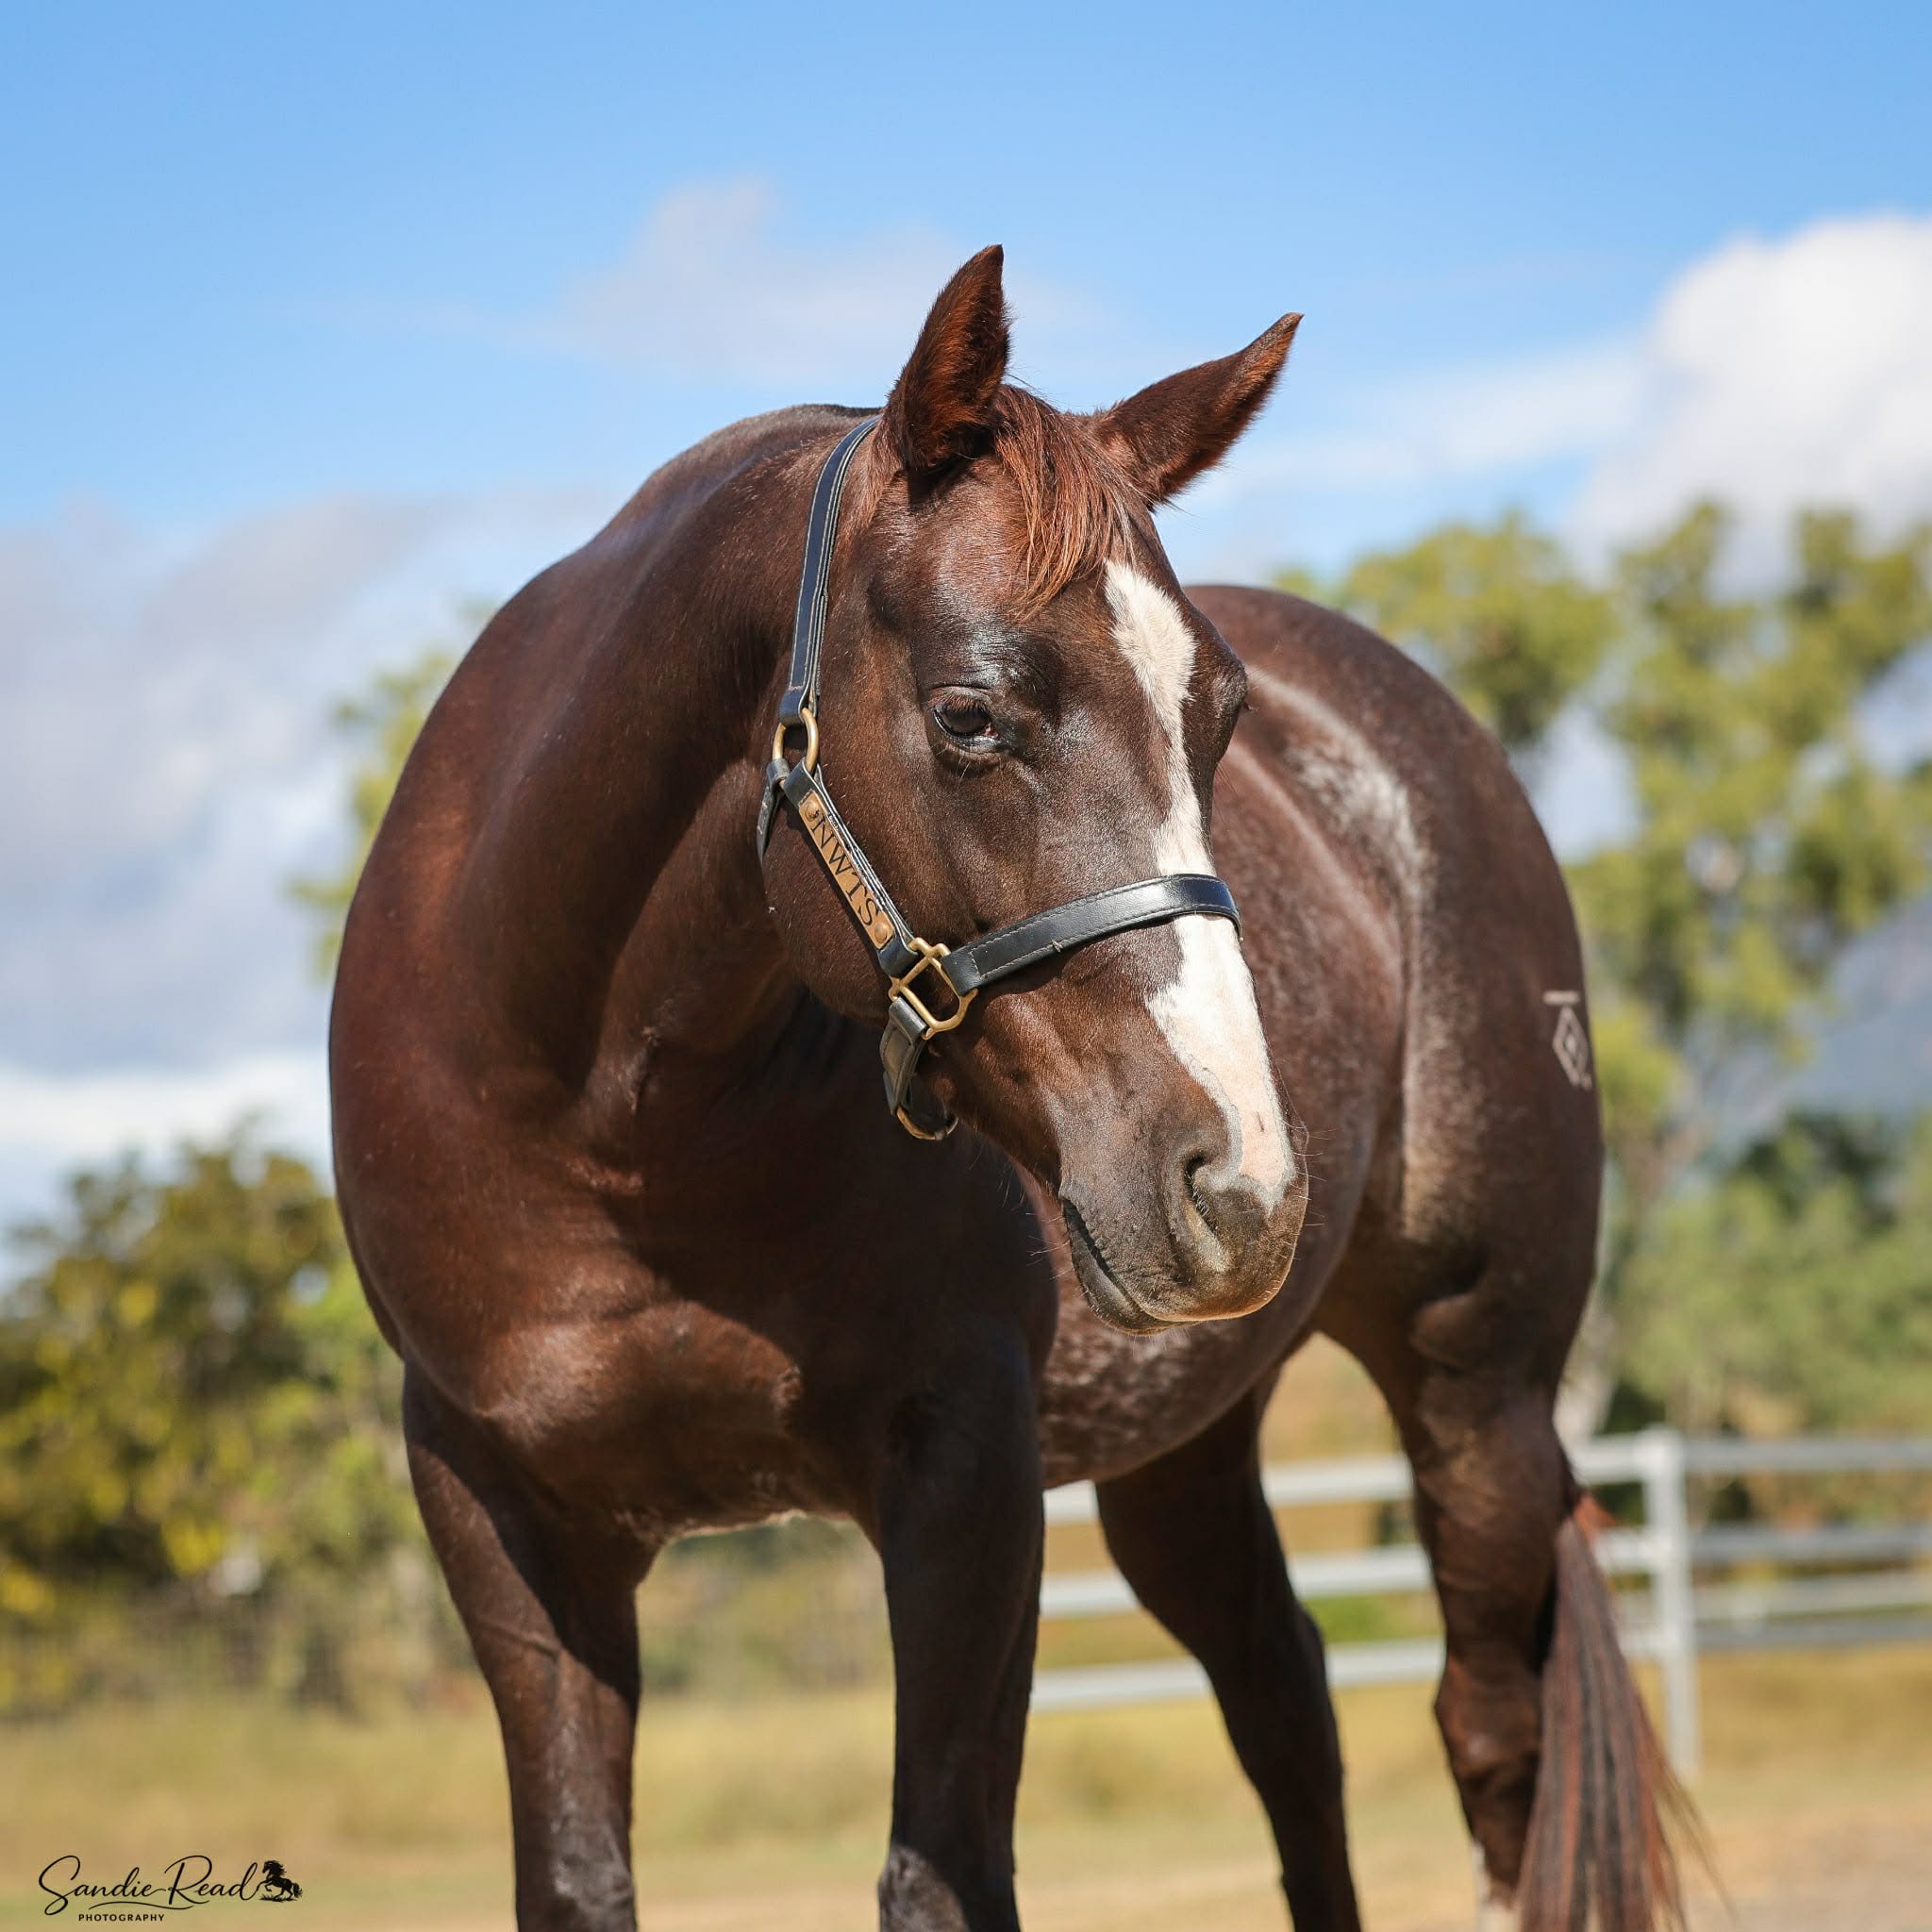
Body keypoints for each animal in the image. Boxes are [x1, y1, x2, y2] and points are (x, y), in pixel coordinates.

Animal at [329, 245, 1687, 1932]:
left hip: (1477, 1391)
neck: (607, 1131)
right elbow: (579, 1883)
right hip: (1186, 1453)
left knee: (1493, 1737)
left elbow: (943, 1871)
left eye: (1219, 718)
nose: (1240, 1183)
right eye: (971, 716)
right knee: (1285, 1702)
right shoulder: (500, 1510)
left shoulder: (968, 1481)